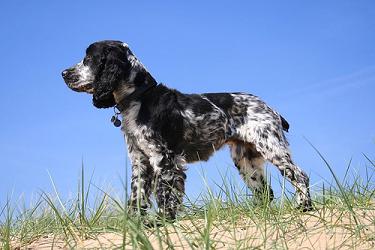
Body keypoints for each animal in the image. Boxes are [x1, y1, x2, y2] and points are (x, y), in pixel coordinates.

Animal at [62, 40, 314, 220]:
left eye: (88, 59)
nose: (63, 73)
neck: (140, 98)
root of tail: (270, 108)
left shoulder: (165, 159)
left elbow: (165, 194)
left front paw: (161, 221)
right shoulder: (140, 161)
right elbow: (137, 196)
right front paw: (133, 224)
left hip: (272, 146)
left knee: (300, 175)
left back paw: (304, 207)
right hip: (246, 159)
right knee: (265, 191)